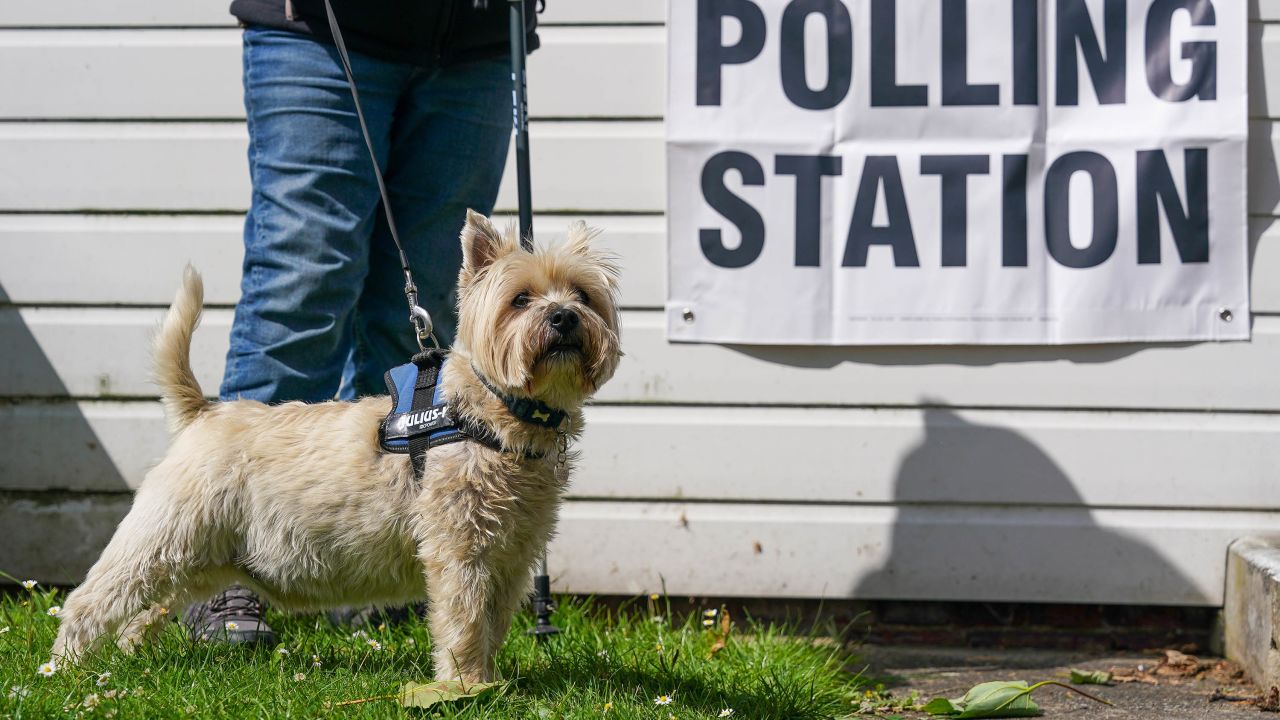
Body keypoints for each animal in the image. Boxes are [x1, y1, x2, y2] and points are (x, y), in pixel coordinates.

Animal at [52, 210, 622, 681]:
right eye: (520, 299)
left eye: (583, 295)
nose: (564, 317)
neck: (497, 414)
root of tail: (203, 413)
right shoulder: (459, 550)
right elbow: (463, 623)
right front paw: (467, 686)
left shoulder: (511, 556)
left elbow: (494, 623)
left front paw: (492, 681)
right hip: (161, 539)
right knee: (89, 601)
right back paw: (64, 670)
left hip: (205, 558)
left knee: (150, 609)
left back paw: (134, 658)